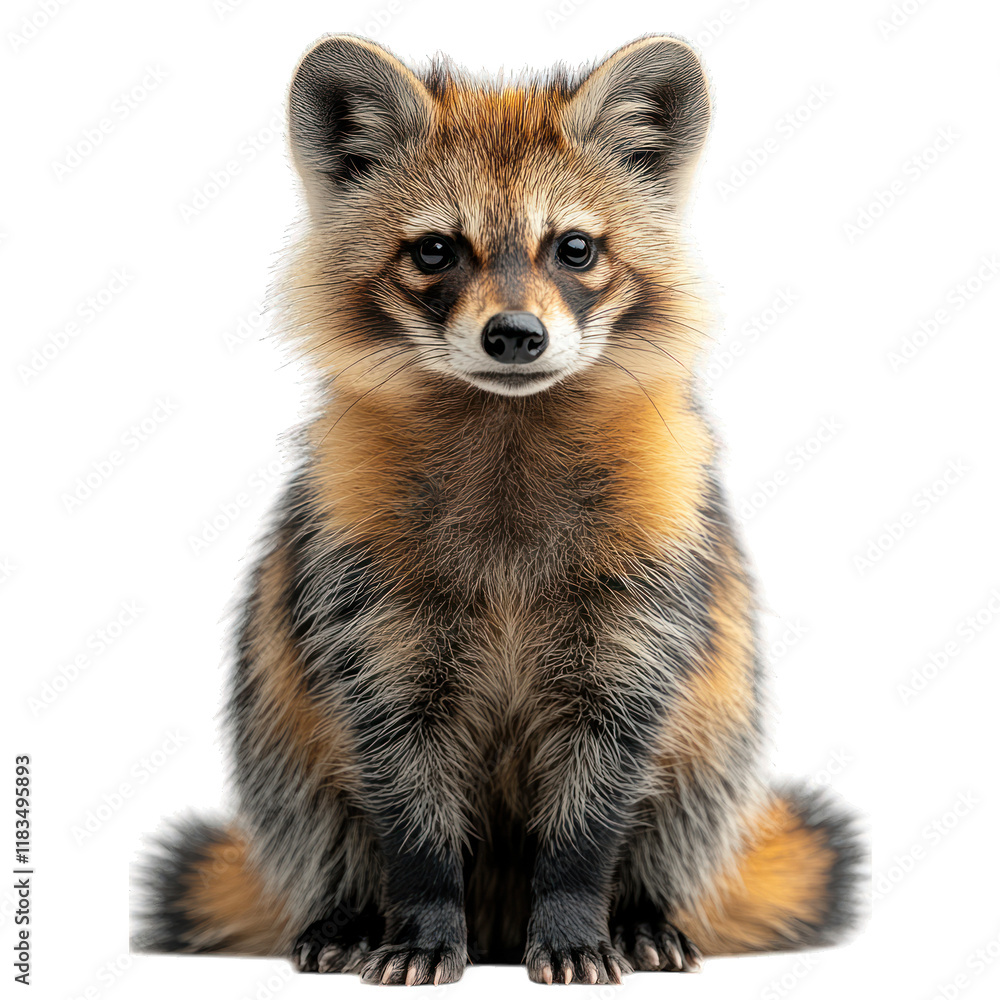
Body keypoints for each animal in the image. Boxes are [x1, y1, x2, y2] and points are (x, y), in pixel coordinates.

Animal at [133, 33, 865, 986]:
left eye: (575, 248)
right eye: (437, 250)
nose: (515, 335)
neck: (508, 435)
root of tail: (498, 925)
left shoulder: (637, 635)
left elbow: (591, 818)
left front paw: (577, 922)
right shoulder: (374, 636)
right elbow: (410, 815)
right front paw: (420, 926)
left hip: (717, 726)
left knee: (688, 809)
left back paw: (642, 914)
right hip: (281, 737)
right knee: (312, 818)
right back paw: (349, 914)